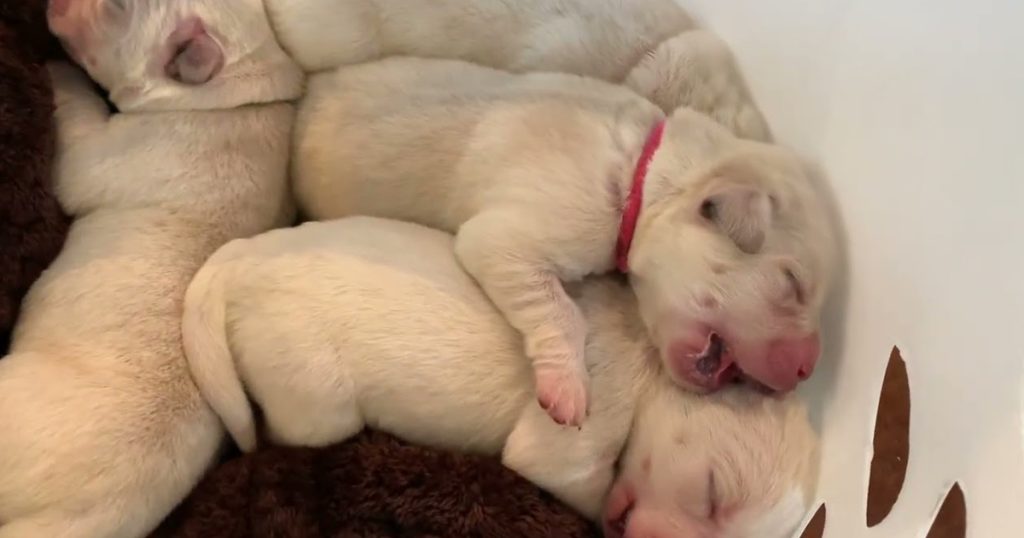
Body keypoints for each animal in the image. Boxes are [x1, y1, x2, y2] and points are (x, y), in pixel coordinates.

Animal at [0, 2, 301, 532]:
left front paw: (56, 71)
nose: (53, 7)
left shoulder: (105, 153)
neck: (236, 91)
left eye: (118, 9)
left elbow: (77, 129)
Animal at [178, 216, 815, 532]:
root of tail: (239, 259)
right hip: (313, 396)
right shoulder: (576, 442)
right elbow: (574, 479)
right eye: (711, 497)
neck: (653, 365)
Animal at [292, 57, 835, 428]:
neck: (642, 174)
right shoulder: (508, 237)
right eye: (792, 282)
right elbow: (562, 311)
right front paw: (568, 386)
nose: (807, 369)